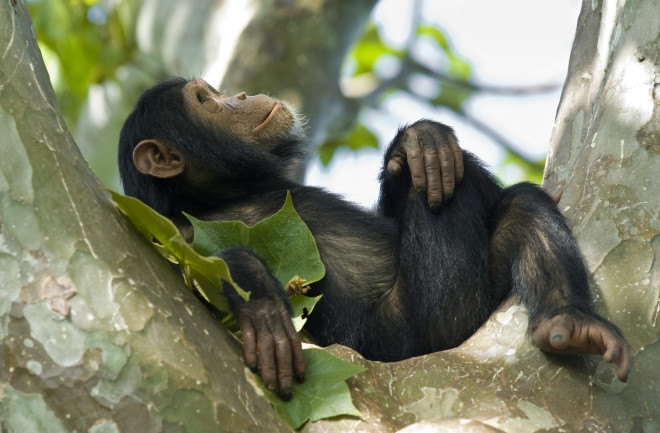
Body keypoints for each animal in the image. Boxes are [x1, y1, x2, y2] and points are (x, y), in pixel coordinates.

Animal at [117, 77, 628, 398]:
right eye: (205, 100)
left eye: (216, 92)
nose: (237, 94)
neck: (223, 194)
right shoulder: (172, 231)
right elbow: (195, 269)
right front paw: (261, 305)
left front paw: (420, 141)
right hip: (430, 321)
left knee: (517, 204)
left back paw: (569, 321)